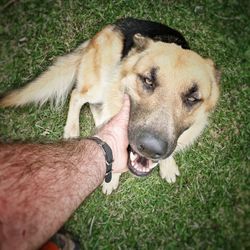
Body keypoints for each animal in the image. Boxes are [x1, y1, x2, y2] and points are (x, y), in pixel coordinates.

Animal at [0, 18, 219, 195]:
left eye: (193, 98)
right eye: (148, 80)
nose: (150, 148)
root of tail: (111, 26)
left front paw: (167, 165)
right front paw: (111, 179)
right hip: (99, 84)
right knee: (77, 95)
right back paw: (72, 129)